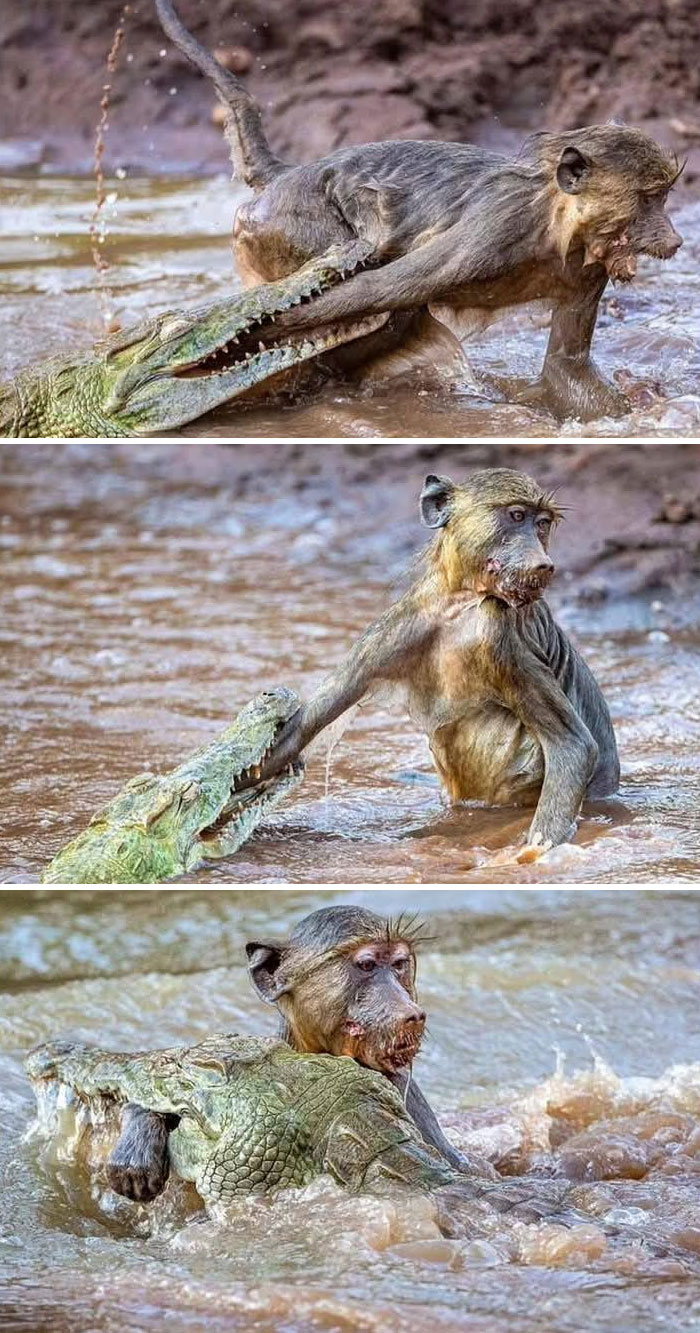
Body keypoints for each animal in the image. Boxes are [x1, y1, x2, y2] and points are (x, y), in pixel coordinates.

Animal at [154, 0, 683, 420]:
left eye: (663, 198)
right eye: (648, 199)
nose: (675, 239)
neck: (555, 223)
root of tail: (288, 174)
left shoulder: (587, 268)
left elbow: (566, 369)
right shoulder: (496, 230)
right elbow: (380, 287)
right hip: (283, 229)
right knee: (381, 304)